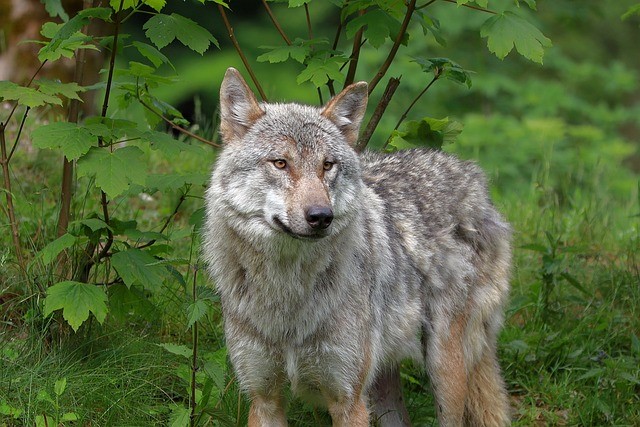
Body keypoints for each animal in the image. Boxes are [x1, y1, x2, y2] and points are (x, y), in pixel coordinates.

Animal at [202, 68, 512, 426]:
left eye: (327, 165)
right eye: (280, 163)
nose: (321, 216)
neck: (287, 294)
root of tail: (472, 177)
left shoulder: (348, 401)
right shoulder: (264, 399)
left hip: (444, 371)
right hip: (384, 387)